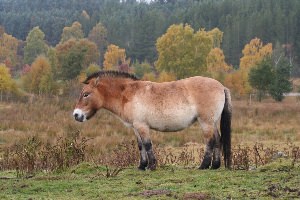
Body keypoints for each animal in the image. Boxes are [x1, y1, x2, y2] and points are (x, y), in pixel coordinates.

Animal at [72, 71, 232, 170]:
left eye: (86, 94)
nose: (76, 115)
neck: (128, 94)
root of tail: (221, 86)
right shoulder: (136, 127)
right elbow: (141, 146)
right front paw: (142, 166)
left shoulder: (142, 126)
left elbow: (148, 144)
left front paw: (152, 166)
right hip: (212, 122)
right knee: (218, 140)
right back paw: (215, 166)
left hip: (206, 122)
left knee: (210, 141)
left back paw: (203, 166)